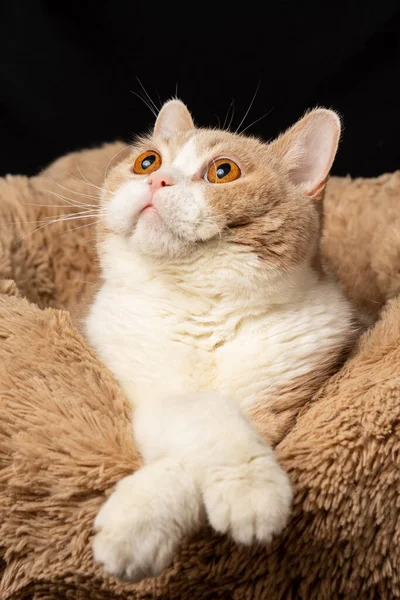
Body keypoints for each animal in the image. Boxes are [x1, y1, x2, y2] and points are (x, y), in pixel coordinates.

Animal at [84, 98, 356, 580]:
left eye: (223, 171)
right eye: (147, 161)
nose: (157, 179)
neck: (203, 308)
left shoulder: (278, 410)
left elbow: (204, 442)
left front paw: (141, 519)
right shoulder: (145, 393)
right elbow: (205, 412)